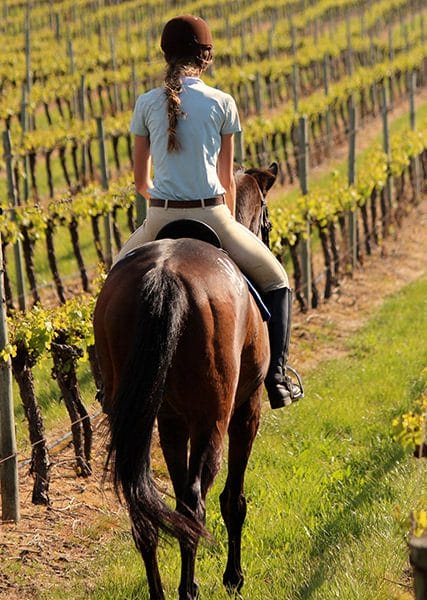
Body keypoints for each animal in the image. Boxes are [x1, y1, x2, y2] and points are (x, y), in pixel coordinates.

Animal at [93, 164, 280, 600]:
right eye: (266, 218)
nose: (267, 233)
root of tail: (165, 275)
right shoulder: (247, 409)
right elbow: (232, 499)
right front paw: (233, 577)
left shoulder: (172, 422)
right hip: (214, 417)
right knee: (196, 502)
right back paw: (188, 589)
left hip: (137, 417)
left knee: (144, 505)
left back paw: (162, 592)